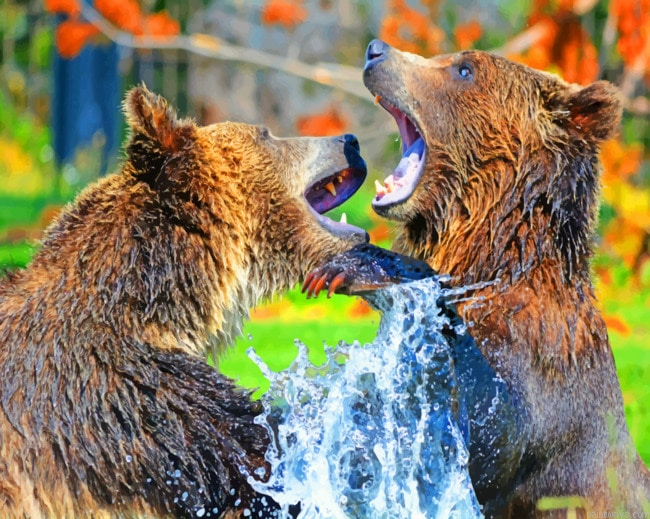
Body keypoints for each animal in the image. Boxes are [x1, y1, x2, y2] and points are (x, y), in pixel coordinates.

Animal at [305, 40, 650, 518]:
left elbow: (494, 428)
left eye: (464, 69)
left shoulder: (544, 366)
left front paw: (360, 268)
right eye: (447, 58)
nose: (377, 51)